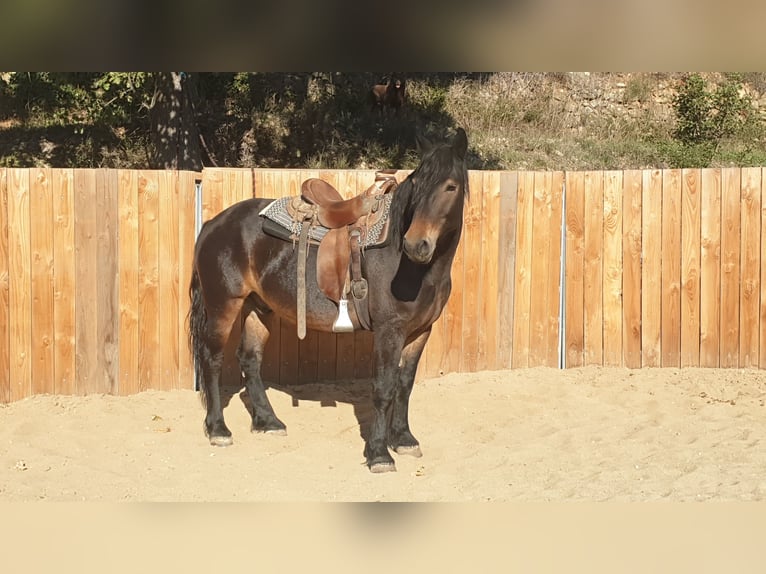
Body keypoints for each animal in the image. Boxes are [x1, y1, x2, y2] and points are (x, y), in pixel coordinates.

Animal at [187, 127, 469, 473]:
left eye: (450, 186)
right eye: (417, 185)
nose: (416, 245)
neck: (413, 268)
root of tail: (213, 225)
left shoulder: (420, 330)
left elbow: (405, 383)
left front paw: (403, 439)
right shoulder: (389, 330)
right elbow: (384, 387)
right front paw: (378, 453)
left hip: (259, 306)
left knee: (249, 358)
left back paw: (268, 422)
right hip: (223, 304)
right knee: (211, 358)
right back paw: (218, 429)